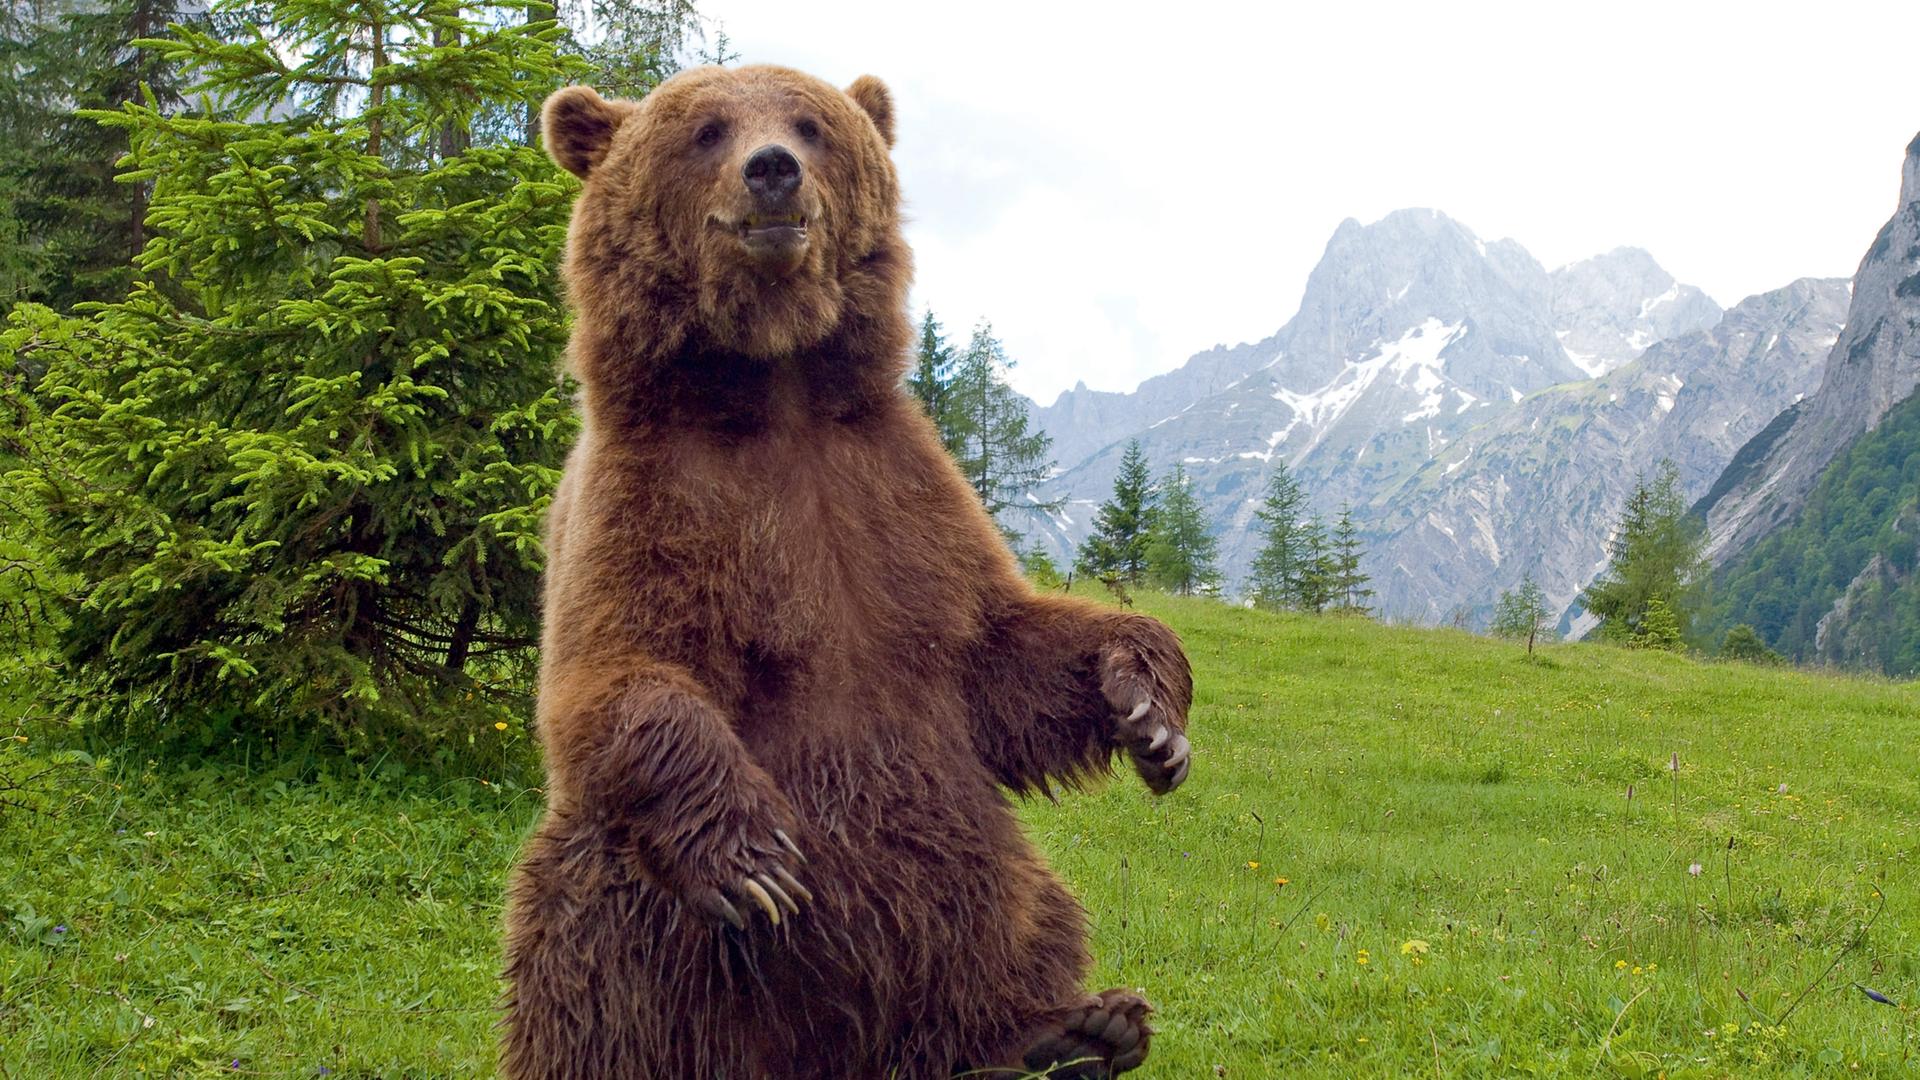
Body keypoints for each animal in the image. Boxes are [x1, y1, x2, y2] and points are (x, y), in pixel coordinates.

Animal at [500, 64, 1194, 1080]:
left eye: (810, 123)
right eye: (706, 130)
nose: (773, 169)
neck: (776, 388)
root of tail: (838, 1053)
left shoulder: (899, 492)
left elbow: (1000, 654)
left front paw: (1149, 712)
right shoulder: (649, 499)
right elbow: (615, 675)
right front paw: (757, 860)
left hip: (969, 867)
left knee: (1024, 918)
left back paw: (1067, 1031)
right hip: (650, 918)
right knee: (596, 963)